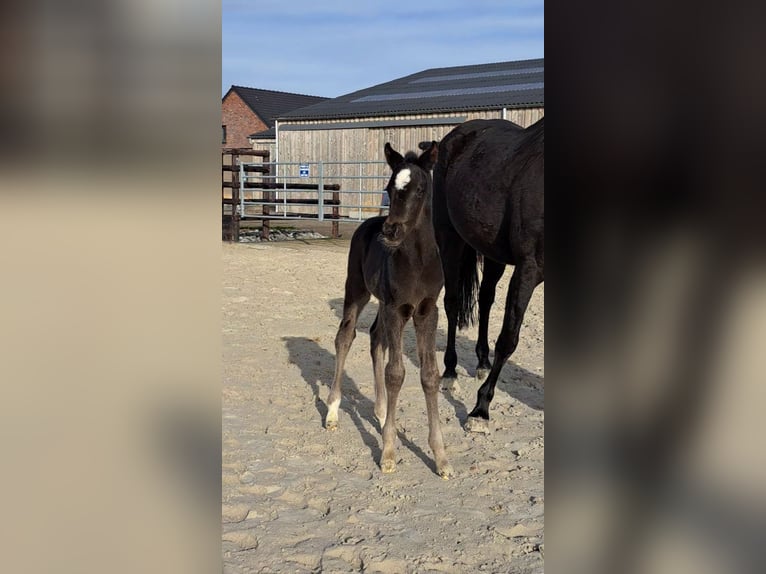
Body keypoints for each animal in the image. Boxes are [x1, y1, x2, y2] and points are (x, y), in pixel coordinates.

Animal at [325, 141, 454, 478]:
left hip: (382, 304)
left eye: (420, 189)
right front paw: (388, 452)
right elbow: (395, 373)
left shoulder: (426, 311)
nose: (391, 231)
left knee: (375, 338)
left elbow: (430, 375)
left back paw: (383, 414)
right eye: (388, 187)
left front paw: (441, 458)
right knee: (345, 337)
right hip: (357, 290)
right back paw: (332, 412)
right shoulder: (397, 309)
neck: (418, 261)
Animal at [431, 118, 544, 433]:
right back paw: (450, 372)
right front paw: (480, 409)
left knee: (484, 300)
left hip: (492, 252)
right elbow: (508, 339)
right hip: (449, 238)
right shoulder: (529, 269)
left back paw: (482, 362)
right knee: (453, 303)